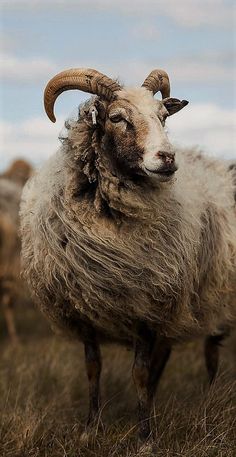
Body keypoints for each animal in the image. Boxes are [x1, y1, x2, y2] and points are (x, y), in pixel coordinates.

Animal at [19, 67, 236, 446]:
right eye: (117, 118)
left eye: (163, 117)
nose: (167, 158)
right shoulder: (83, 311)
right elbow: (93, 369)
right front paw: (91, 428)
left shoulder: (148, 307)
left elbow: (139, 372)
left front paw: (145, 436)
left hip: (213, 296)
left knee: (210, 351)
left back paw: (207, 399)